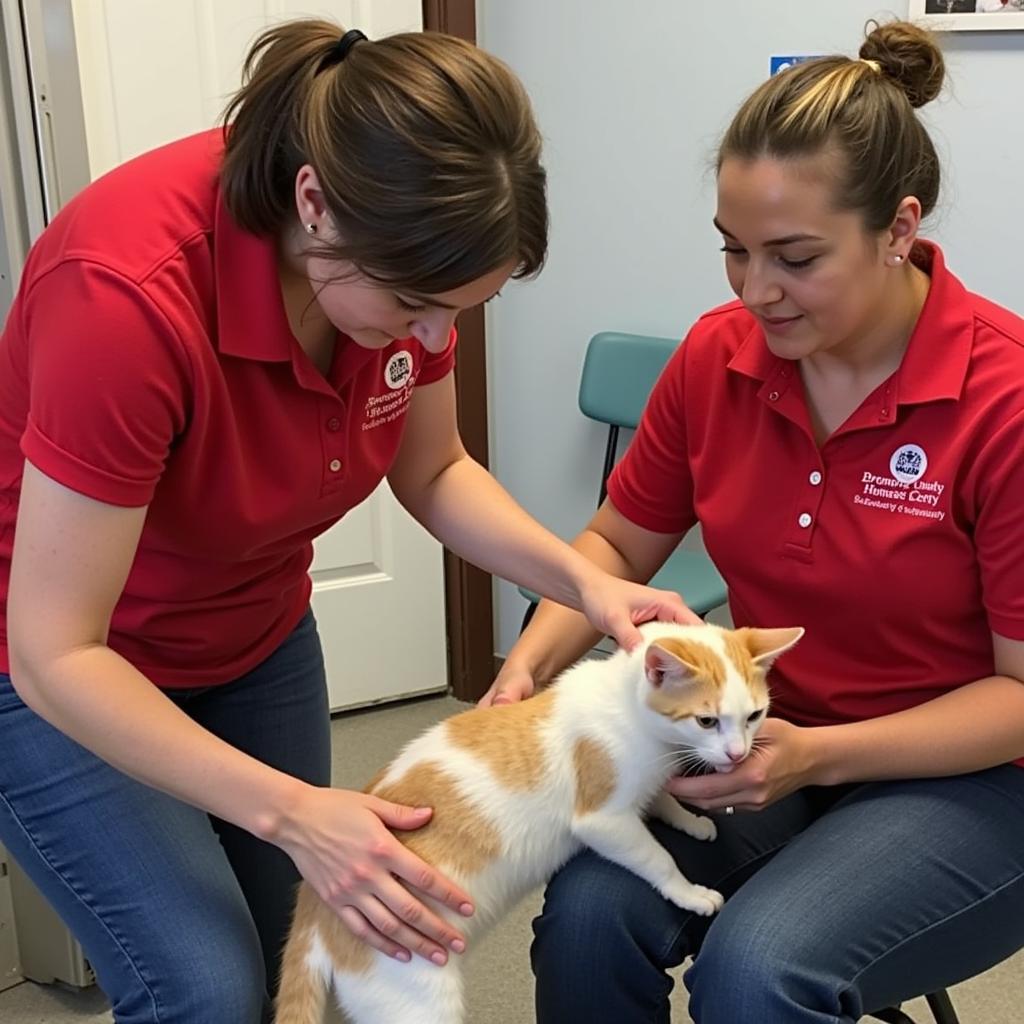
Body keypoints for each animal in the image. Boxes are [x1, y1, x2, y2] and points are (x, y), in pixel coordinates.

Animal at [276, 618, 802, 1019]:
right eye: (706, 721)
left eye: (755, 715)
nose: (737, 755)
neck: (631, 713)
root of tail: (314, 910)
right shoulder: (602, 821)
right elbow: (656, 859)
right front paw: (690, 892)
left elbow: (660, 800)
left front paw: (691, 820)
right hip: (413, 992)